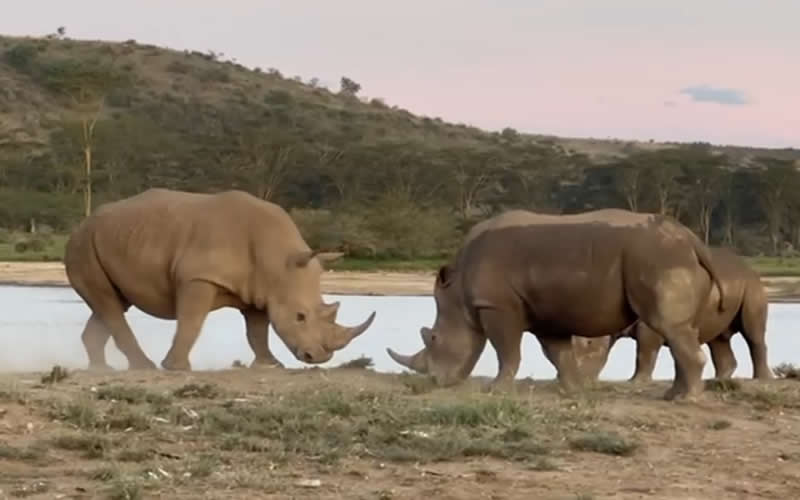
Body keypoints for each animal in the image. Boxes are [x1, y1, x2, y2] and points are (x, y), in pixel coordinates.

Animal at [63, 188, 376, 371]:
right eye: (300, 316)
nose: (319, 359)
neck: (278, 261)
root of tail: (80, 225)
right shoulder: (198, 277)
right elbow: (191, 322)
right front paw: (177, 368)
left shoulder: (261, 290)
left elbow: (257, 330)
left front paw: (271, 365)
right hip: (83, 245)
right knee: (109, 304)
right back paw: (145, 367)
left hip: (108, 240)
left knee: (112, 302)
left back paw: (101, 370)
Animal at [387, 208, 728, 400]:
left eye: (433, 338)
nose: (435, 382)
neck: (458, 292)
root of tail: (693, 240)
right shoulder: (545, 313)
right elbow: (557, 353)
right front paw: (572, 390)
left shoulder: (496, 306)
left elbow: (506, 351)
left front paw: (495, 390)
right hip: (668, 256)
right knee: (681, 329)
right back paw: (673, 395)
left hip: (659, 258)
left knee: (668, 325)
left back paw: (687, 400)